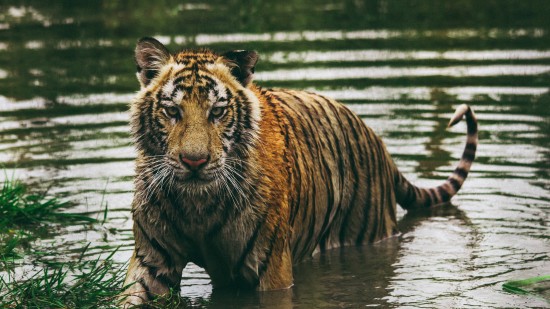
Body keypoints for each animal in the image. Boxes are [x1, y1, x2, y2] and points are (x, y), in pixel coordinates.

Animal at [121, 37, 478, 304]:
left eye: (218, 112)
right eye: (172, 111)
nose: (194, 161)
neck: (198, 205)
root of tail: (379, 142)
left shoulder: (270, 269)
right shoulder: (151, 263)